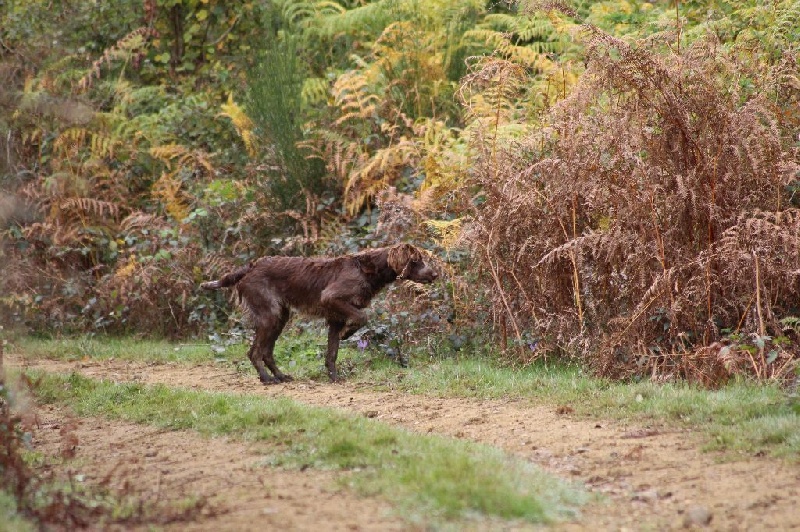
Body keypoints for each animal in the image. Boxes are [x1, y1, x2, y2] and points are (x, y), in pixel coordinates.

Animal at [200, 243, 438, 384]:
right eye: (416, 260)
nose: (435, 274)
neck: (367, 269)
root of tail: (250, 267)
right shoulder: (331, 298)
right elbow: (362, 317)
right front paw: (348, 333)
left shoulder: (335, 318)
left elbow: (331, 353)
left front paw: (334, 378)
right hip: (270, 315)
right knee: (254, 352)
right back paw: (266, 378)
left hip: (280, 317)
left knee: (266, 352)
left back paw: (280, 376)